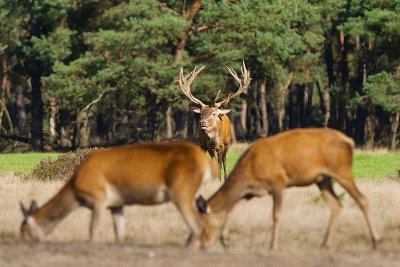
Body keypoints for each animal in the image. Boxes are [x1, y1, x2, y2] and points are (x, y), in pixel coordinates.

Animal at [20, 143, 217, 248]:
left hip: (182, 191)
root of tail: (208, 163)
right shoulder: (117, 204)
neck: (76, 189)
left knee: (197, 225)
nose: (22, 242)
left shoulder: (98, 196)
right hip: (192, 194)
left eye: (24, 230)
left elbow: (92, 230)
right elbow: (119, 233)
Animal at [197, 127, 382, 251]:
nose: (201, 244)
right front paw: (225, 240)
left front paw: (273, 245)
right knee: (336, 204)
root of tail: (349, 141)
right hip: (323, 180)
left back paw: (376, 241)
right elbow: (231, 208)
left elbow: (276, 214)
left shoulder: (278, 182)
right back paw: (325, 244)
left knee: (362, 199)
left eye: (202, 226)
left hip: (342, 170)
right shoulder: (252, 191)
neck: (249, 171)